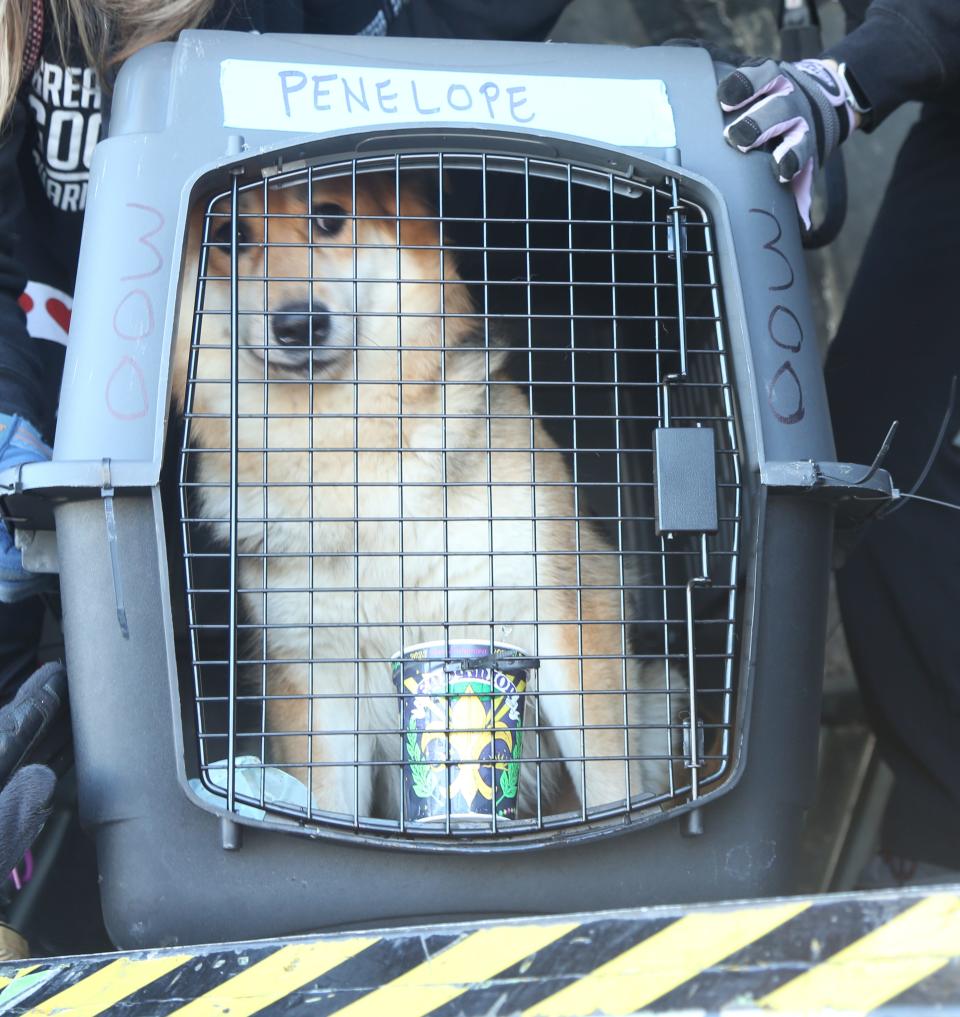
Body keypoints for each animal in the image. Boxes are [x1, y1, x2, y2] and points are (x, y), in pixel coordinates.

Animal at [170, 148, 744, 833]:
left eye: (329, 217)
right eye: (229, 237)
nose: (297, 324)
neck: (348, 443)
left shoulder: (559, 614)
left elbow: (608, 785)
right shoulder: (315, 675)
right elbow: (327, 803)